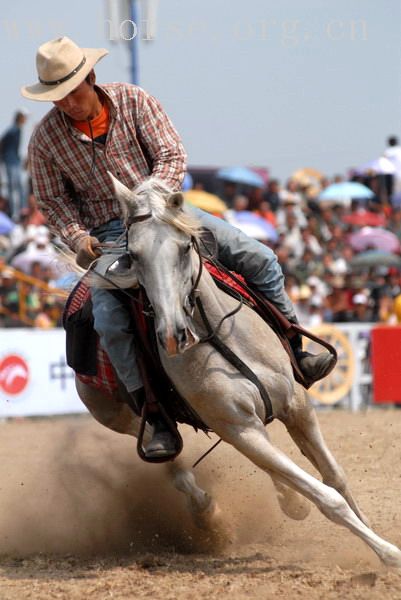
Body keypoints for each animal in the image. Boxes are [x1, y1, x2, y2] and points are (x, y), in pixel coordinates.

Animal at [76, 175, 400, 568]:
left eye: (183, 248)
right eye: (134, 256)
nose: (172, 334)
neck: (218, 334)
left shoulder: (296, 406)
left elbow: (334, 476)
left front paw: (373, 534)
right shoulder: (237, 428)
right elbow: (327, 497)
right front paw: (388, 553)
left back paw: (287, 500)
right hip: (125, 420)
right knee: (175, 467)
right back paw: (208, 514)